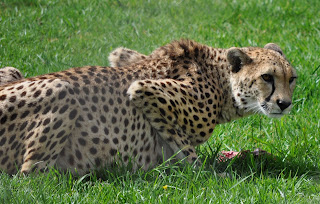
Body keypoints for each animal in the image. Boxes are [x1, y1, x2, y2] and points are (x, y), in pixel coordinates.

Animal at [0, 39, 298, 175]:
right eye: (267, 77)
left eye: (291, 79)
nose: (284, 104)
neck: (222, 82)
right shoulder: (144, 89)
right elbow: (187, 151)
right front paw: (210, 175)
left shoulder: (122, 56)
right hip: (61, 89)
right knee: (29, 179)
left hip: (11, 71)